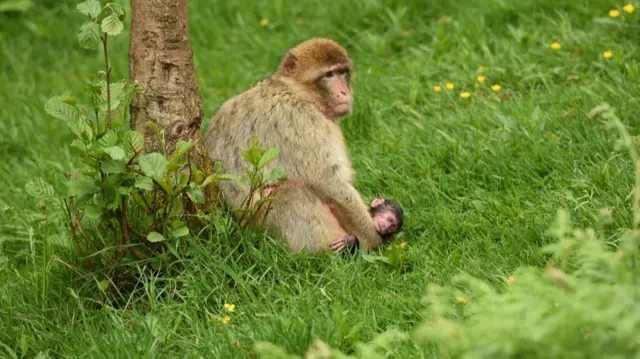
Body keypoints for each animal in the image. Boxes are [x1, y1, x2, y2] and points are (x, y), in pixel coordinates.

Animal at [205, 37, 382, 253]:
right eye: (328, 75)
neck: (295, 90)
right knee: (293, 190)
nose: (344, 91)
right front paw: (377, 237)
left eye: (342, 72)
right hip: (261, 223)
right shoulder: (302, 120)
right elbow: (332, 186)